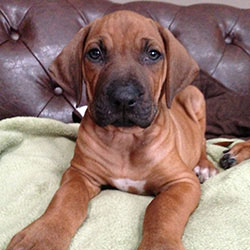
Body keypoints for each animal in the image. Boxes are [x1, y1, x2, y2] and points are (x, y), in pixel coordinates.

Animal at [5, 10, 218, 250]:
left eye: (153, 54)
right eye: (95, 53)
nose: (124, 98)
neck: (126, 138)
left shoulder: (182, 182)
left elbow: (162, 210)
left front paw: (160, 243)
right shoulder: (79, 174)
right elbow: (66, 199)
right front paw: (43, 233)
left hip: (194, 97)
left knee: (202, 142)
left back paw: (205, 166)